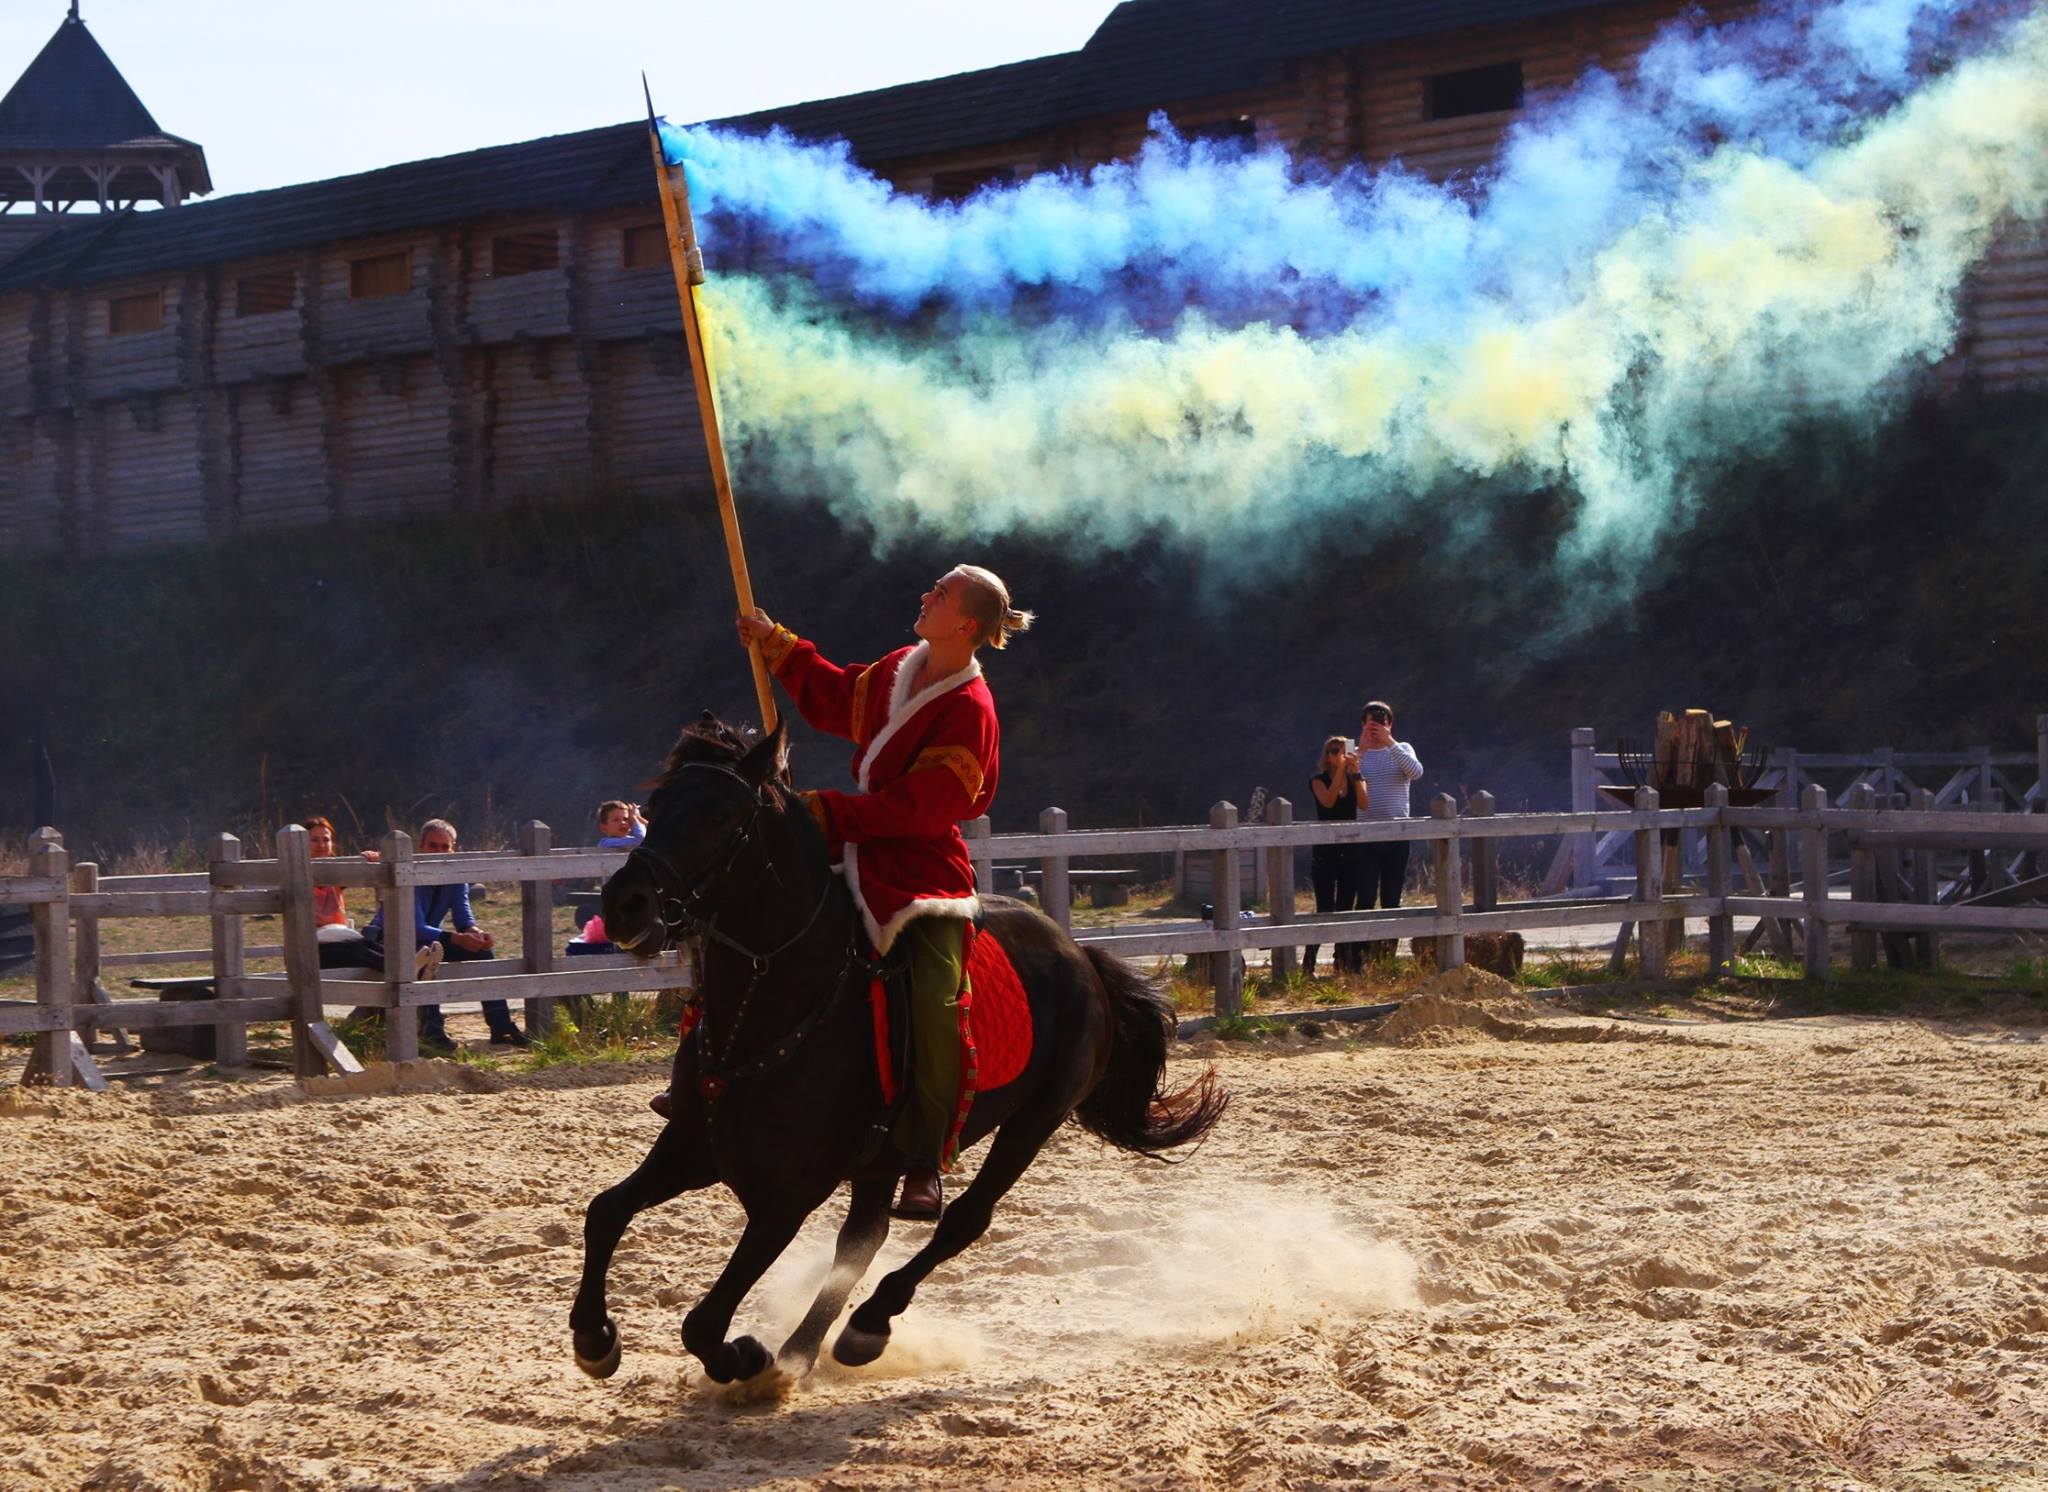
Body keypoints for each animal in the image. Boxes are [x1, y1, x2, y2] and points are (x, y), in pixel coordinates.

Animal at [569, 716, 1220, 1375]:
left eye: (721, 815)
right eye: (655, 805)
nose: (623, 904)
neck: (774, 1009)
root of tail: (1080, 955)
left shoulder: (789, 1196)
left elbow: (702, 1325)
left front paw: (744, 1356)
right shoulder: (692, 1145)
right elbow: (604, 1212)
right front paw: (595, 1338)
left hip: (1035, 1120)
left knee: (962, 1221)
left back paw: (864, 1325)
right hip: (886, 1157)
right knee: (863, 1240)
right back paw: (803, 1352)